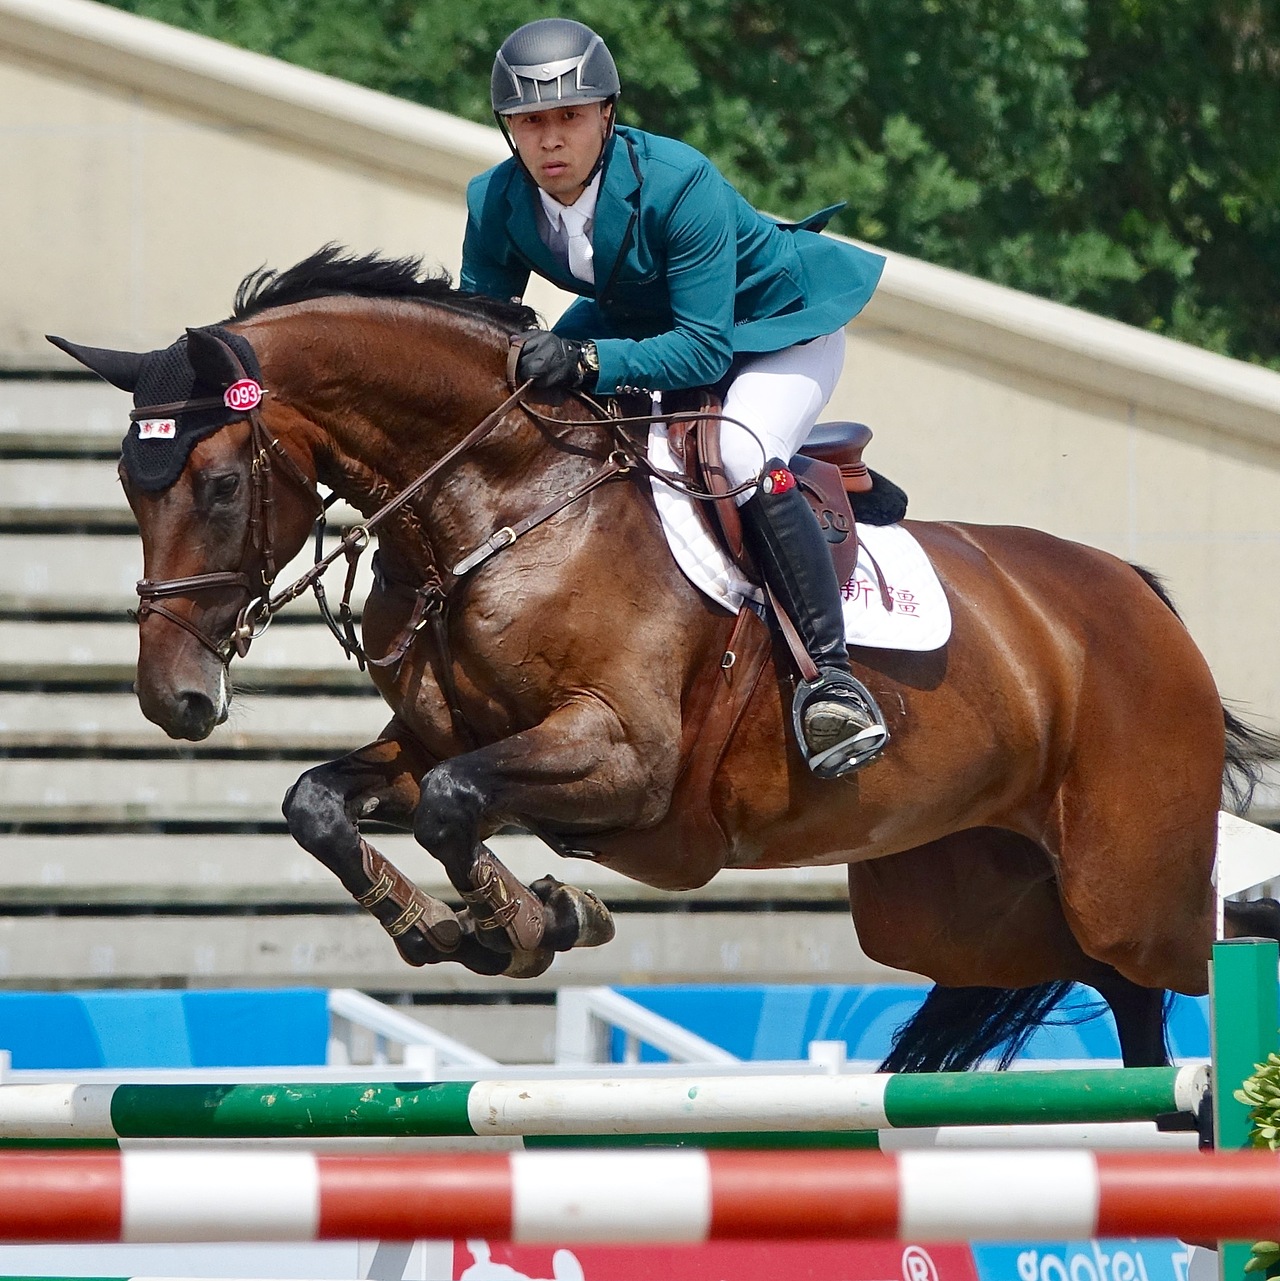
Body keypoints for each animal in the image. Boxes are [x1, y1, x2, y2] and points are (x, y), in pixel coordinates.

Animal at [51, 246, 1280, 1071]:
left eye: (217, 484)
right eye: (124, 485)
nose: (174, 699)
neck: (506, 500)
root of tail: (1141, 601)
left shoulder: (625, 760)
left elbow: (454, 804)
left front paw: (529, 919)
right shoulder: (442, 738)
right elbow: (326, 802)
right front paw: (470, 924)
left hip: (1130, 885)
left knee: (1176, 964)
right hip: (968, 912)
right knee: (1112, 992)